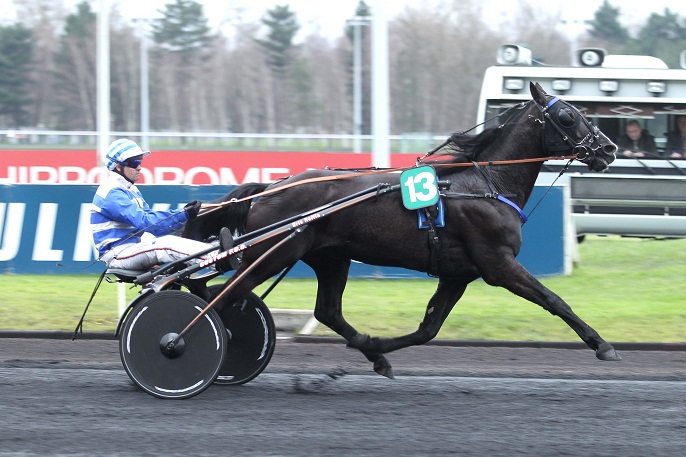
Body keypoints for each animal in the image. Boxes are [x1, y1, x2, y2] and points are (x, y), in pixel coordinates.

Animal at [183, 83, 624, 378]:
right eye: (568, 115)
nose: (608, 148)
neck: (485, 184)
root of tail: (269, 188)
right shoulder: (498, 264)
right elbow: (555, 300)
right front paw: (603, 345)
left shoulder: (458, 273)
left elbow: (428, 329)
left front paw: (378, 347)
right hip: (273, 254)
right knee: (220, 295)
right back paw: (184, 342)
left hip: (328, 257)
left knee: (324, 310)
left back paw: (372, 353)